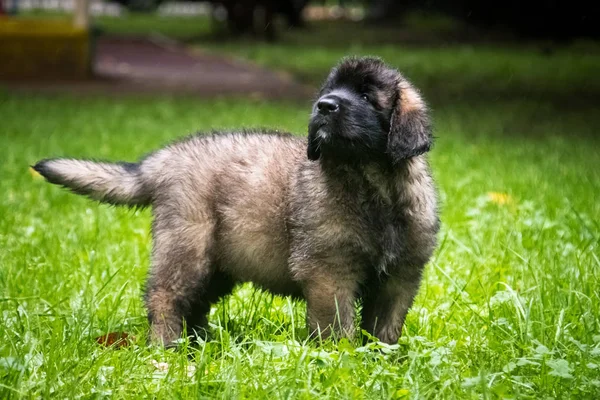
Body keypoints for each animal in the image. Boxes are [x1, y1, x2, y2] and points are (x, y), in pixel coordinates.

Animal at [32, 56, 440, 346]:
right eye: (331, 90)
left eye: (367, 96)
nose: (324, 106)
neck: (371, 185)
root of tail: (163, 159)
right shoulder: (329, 272)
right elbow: (336, 327)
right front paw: (339, 358)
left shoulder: (400, 277)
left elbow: (385, 329)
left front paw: (381, 360)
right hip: (188, 246)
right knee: (165, 296)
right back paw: (167, 348)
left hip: (220, 262)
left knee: (194, 302)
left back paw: (200, 344)